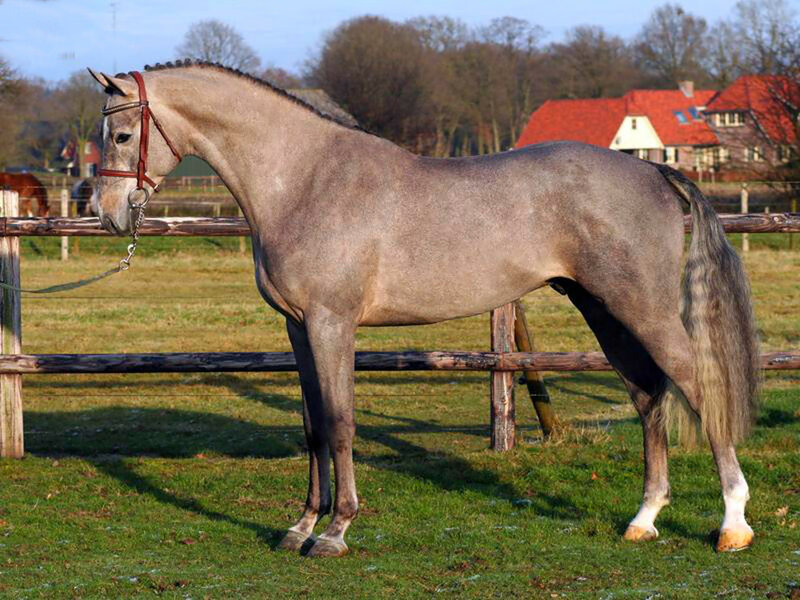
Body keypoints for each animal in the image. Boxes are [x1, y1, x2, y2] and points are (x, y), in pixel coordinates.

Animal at [88, 62, 760, 558]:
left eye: (121, 135)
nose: (109, 215)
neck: (305, 179)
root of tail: (654, 172)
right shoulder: (298, 328)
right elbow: (312, 426)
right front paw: (300, 527)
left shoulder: (332, 325)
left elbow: (340, 423)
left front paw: (336, 531)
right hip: (604, 311)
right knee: (648, 396)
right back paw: (643, 519)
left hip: (641, 308)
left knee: (697, 386)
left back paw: (732, 524)